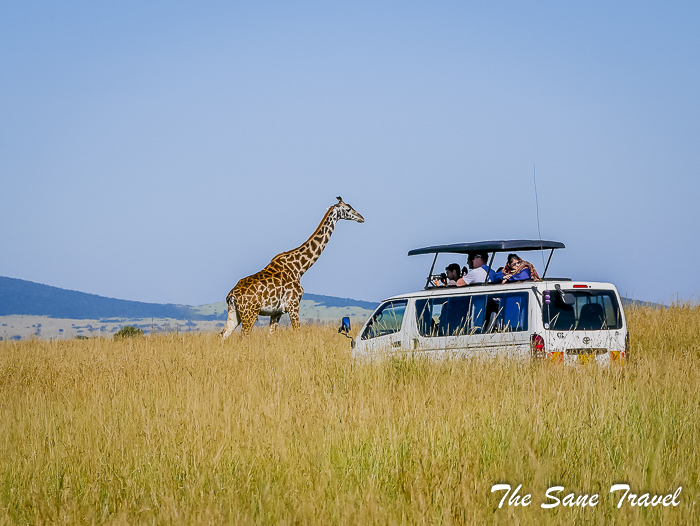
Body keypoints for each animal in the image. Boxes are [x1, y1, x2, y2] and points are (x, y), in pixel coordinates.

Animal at [220, 196, 364, 340]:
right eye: (348, 209)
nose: (361, 218)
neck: (299, 268)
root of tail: (231, 295)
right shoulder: (293, 305)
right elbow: (297, 332)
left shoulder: (277, 312)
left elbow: (271, 336)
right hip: (250, 313)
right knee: (244, 336)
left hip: (235, 313)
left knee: (223, 334)